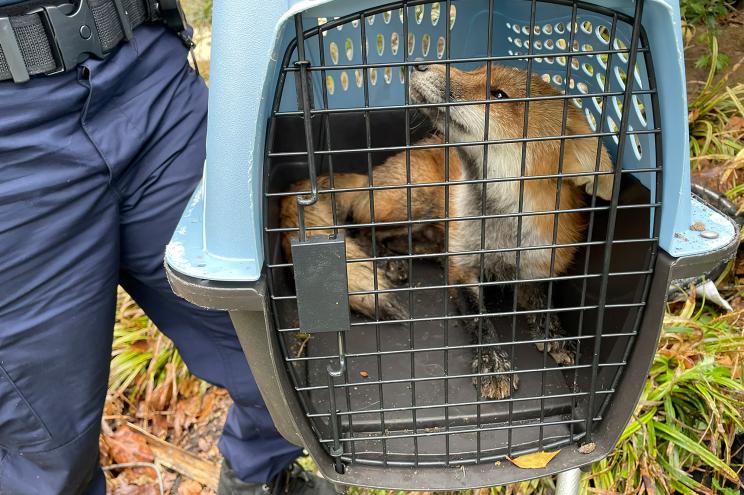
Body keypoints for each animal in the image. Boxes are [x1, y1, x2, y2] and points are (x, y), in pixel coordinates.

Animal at [282, 64, 612, 402]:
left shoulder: (536, 266)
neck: (500, 232)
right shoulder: (462, 271)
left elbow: (545, 303)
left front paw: (556, 334)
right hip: (415, 201)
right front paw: (493, 364)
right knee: (361, 229)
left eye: (499, 95)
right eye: (476, 68)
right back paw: (389, 262)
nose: (420, 63)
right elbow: (481, 320)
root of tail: (371, 175)